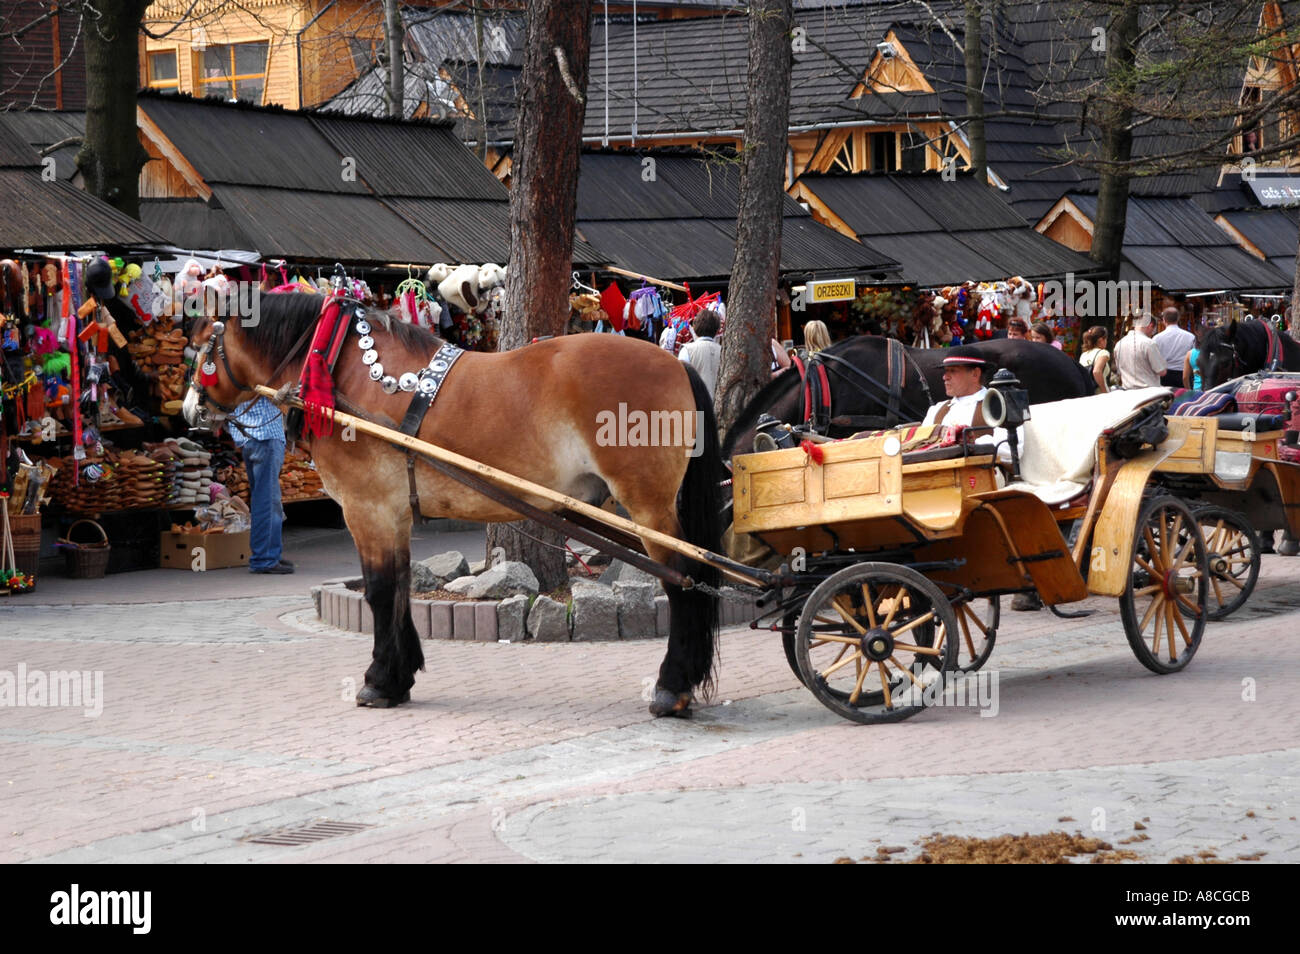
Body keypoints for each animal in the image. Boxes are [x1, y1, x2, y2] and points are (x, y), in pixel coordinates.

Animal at [183, 292, 724, 717]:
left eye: (202, 344)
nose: (190, 410)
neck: (340, 370)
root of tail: (676, 362)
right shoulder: (394, 513)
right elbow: (399, 586)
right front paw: (399, 675)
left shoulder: (367, 508)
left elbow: (379, 590)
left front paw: (378, 680)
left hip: (649, 508)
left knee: (683, 581)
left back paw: (671, 688)